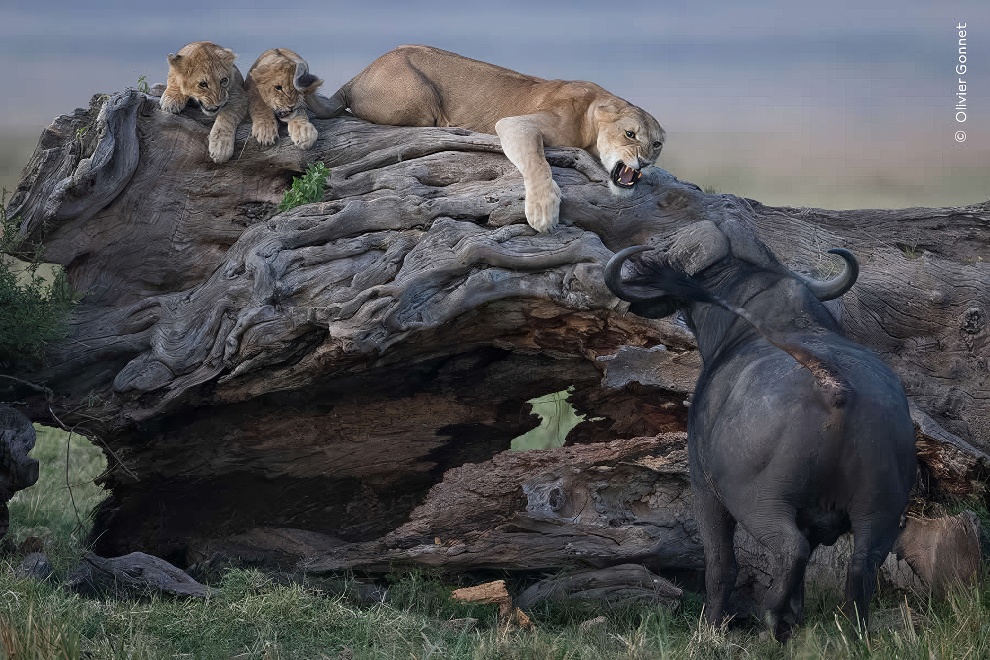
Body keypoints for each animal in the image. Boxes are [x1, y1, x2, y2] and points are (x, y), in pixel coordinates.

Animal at [608, 219, 920, 640]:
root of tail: (835, 387)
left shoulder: (703, 489)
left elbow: (720, 564)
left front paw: (711, 628)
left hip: (758, 502)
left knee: (789, 550)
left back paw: (772, 616)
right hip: (881, 509)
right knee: (862, 564)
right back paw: (848, 631)